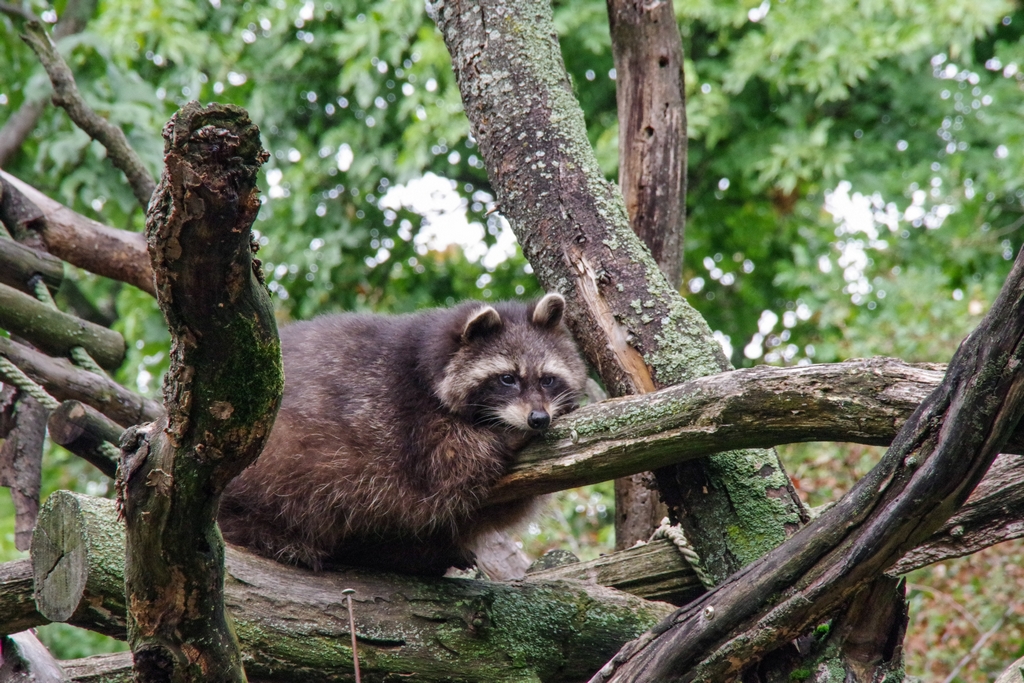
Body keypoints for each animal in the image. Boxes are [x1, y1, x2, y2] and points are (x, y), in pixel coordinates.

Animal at [218, 290, 585, 573]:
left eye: (547, 379)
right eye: (507, 378)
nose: (538, 418)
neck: (429, 358)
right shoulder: (406, 415)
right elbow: (450, 462)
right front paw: (504, 435)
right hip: (276, 446)